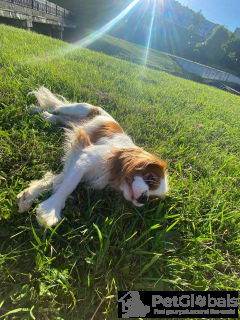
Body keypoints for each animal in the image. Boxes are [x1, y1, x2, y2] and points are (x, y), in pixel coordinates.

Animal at [17, 87, 169, 228]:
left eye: (152, 198)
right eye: (150, 178)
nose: (144, 199)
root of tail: (98, 108)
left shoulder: (80, 163)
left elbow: (56, 180)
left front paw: (28, 195)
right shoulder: (86, 158)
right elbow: (68, 186)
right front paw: (50, 210)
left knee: (59, 116)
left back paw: (47, 117)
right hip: (77, 109)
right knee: (56, 106)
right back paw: (36, 109)